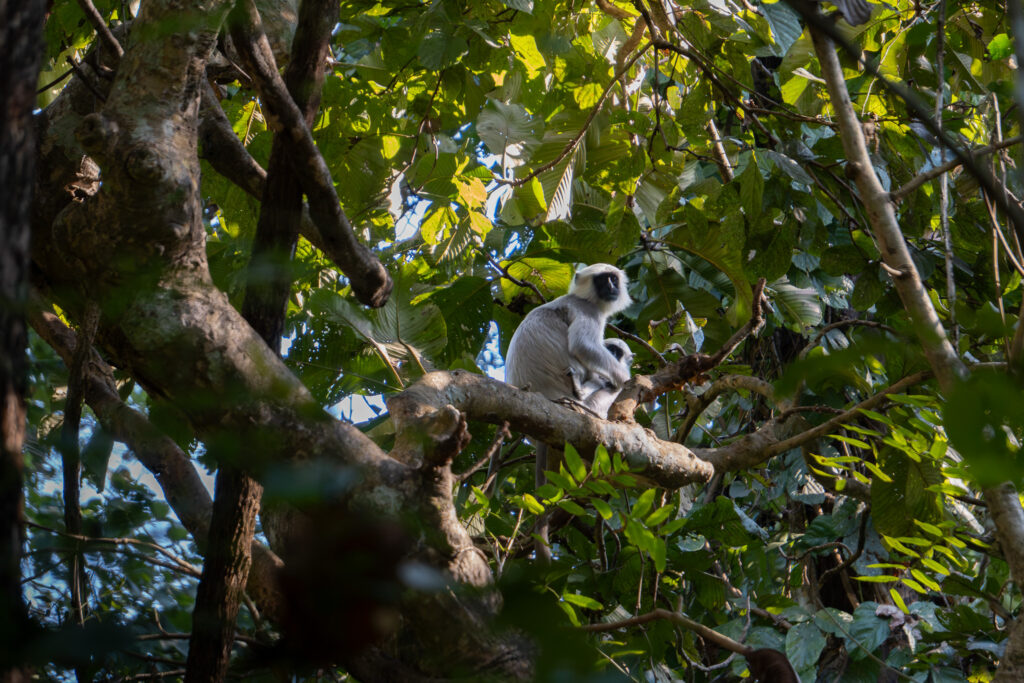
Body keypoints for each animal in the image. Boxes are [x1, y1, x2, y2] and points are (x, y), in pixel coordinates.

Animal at [504, 263, 632, 561]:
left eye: (613, 279)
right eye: (603, 280)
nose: (612, 287)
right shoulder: (588, 312)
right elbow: (583, 347)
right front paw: (625, 376)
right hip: (578, 406)